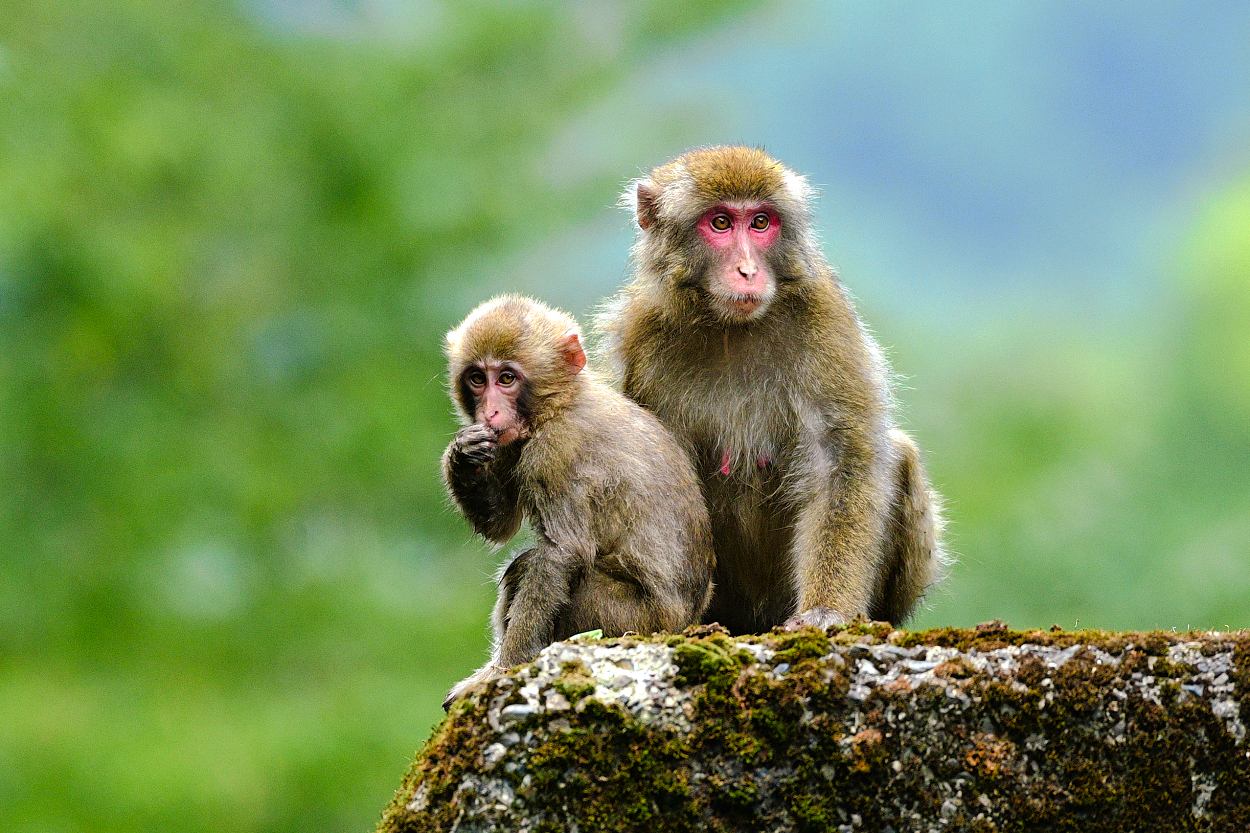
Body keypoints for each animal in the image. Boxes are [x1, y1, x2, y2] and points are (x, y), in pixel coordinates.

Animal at [441, 294, 715, 708]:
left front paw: (503, 671)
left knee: (542, 567)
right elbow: (502, 524)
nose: (490, 411)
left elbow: (561, 553)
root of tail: (686, 623)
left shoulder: (555, 452)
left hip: (629, 618)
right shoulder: (507, 442)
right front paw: (462, 453)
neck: (559, 404)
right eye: (477, 378)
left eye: (506, 378)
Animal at [597, 146, 947, 635]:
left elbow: (840, 461)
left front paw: (825, 610)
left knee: (900, 454)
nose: (747, 270)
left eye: (760, 222)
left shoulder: (826, 318)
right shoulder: (643, 335)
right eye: (721, 223)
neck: (730, 327)